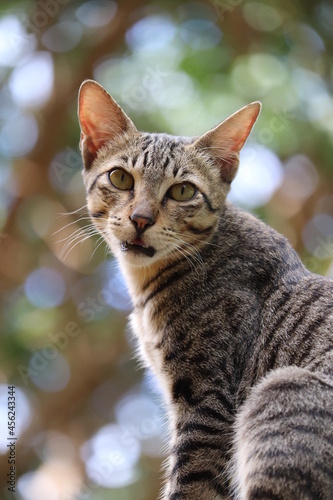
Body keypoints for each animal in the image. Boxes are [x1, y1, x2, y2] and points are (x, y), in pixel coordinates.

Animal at [78, 80, 332, 498]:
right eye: (120, 178)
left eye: (183, 191)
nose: (140, 218)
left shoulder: (206, 404)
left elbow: (190, 484)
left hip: (282, 394)